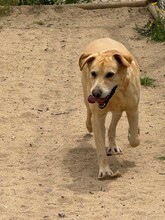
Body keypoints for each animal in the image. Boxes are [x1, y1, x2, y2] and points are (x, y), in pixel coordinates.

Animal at [79, 37, 141, 179]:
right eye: (93, 73)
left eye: (110, 74)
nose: (96, 93)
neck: (116, 95)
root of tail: (102, 38)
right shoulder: (98, 117)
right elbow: (101, 148)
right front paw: (105, 171)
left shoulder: (133, 110)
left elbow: (134, 140)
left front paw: (132, 133)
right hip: (86, 95)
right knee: (89, 112)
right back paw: (88, 125)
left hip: (118, 112)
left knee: (112, 127)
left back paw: (113, 146)